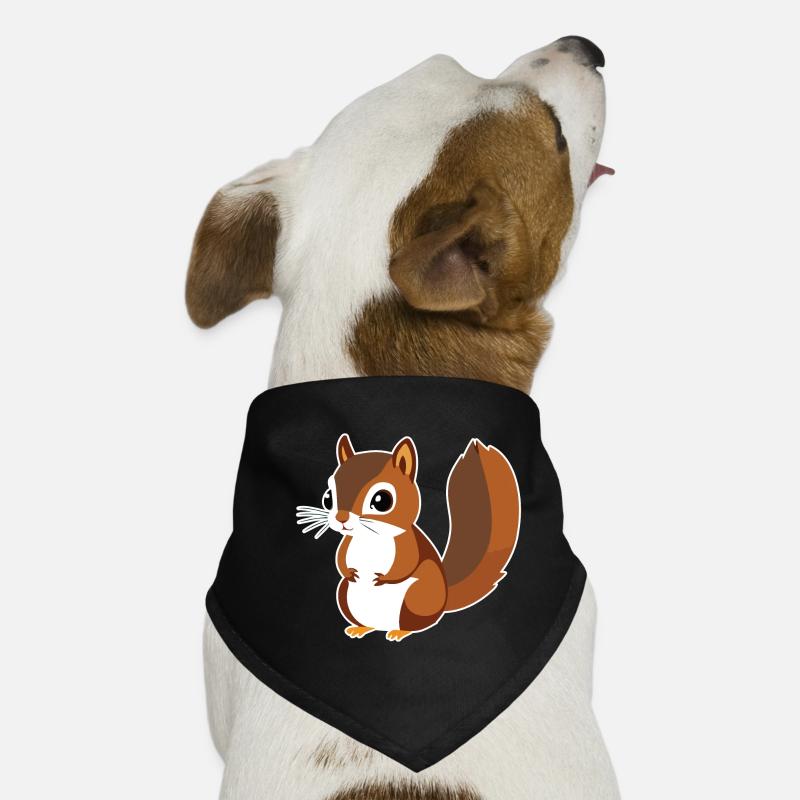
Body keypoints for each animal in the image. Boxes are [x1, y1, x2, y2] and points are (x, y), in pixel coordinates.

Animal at [296, 433, 521, 642]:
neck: (369, 538)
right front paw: (350, 572)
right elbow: (341, 560)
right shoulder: (347, 544)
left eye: (382, 500)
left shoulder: (408, 545)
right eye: (328, 497)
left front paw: (382, 578)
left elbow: (405, 565)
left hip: (415, 599)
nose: (341, 518)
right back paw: (361, 628)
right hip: (345, 596)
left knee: (413, 625)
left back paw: (399, 632)